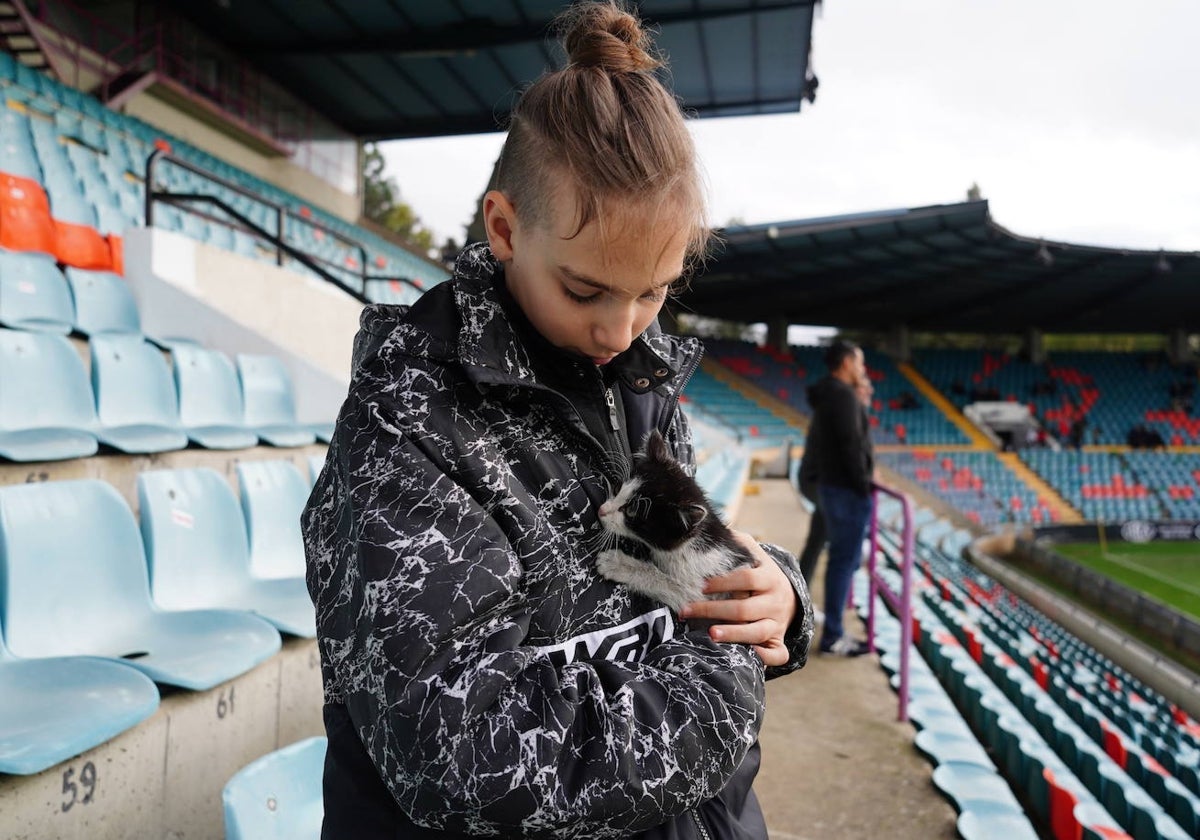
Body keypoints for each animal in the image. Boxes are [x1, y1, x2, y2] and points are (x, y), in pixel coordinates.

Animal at [595, 429, 753, 614]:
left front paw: (618, 564)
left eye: (631, 511)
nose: (601, 510)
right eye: (618, 488)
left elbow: (675, 587)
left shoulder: (709, 590)